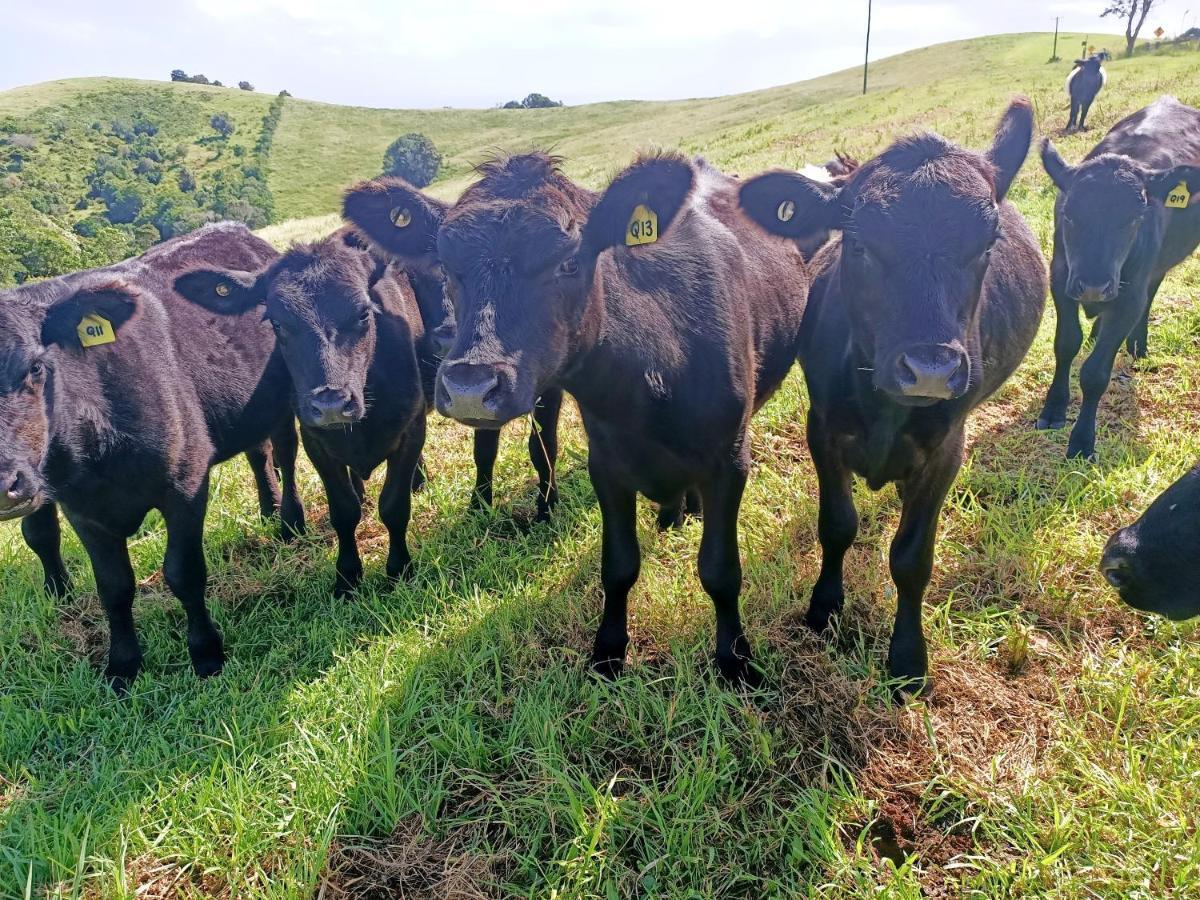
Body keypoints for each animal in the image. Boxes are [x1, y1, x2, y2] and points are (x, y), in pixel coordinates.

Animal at [348, 154, 806, 686]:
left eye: (568, 262)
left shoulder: (730, 459)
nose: (469, 387)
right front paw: (607, 653)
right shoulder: (606, 462)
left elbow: (720, 570)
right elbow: (619, 566)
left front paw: (734, 661)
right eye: (446, 266)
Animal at [734, 98, 1046, 696]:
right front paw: (824, 608)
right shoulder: (823, 429)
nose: (930, 370)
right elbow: (837, 525)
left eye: (987, 245)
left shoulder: (948, 449)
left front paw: (907, 656)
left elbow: (911, 557)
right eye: (859, 244)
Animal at [1032, 97, 1200, 458]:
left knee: (1151, 293)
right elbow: (1065, 343)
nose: (1094, 286)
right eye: (1068, 214)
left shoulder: (1129, 297)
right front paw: (1053, 409)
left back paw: (1137, 344)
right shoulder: (1061, 278)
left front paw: (1082, 440)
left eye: (1136, 218)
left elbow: (1096, 372)